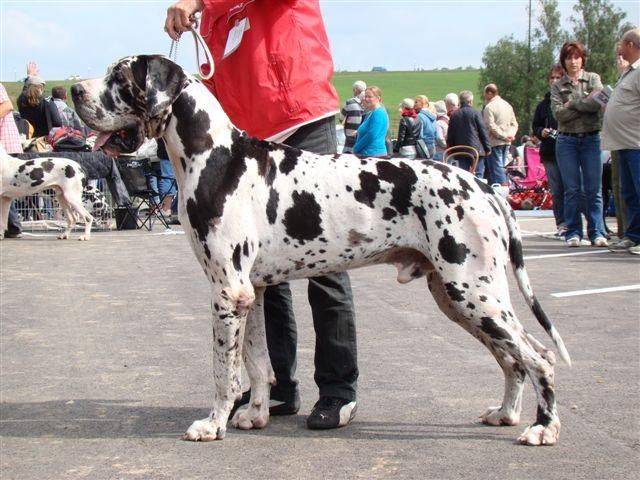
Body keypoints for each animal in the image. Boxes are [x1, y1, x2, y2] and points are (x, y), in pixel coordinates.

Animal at [72, 55, 571, 446]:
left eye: (120, 76)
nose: (73, 89)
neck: (215, 156)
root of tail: (484, 185)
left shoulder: (226, 292)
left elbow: (222, 370)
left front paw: (213, 424)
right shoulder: (249, 293)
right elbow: (257, 364)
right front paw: (255, 414)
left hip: (473, 292)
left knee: (540, 358)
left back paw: (543, 427)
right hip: (457, 297)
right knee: (514, 358)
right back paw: (506, 413)